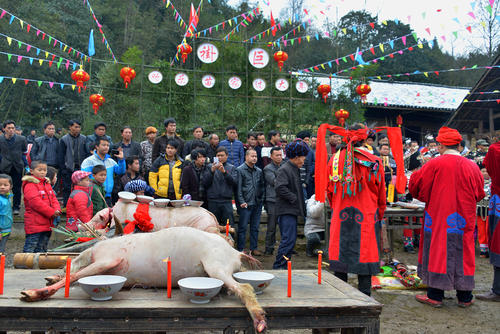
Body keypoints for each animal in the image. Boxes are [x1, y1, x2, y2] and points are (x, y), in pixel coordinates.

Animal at [20, 227, 266, 332]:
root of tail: (236, 253)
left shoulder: (108, 260)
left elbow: (76, 275)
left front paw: (33, 293)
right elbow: (73, 274)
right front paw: (50, 277)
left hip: (215, 265)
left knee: (244, 287)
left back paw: (259, 319)